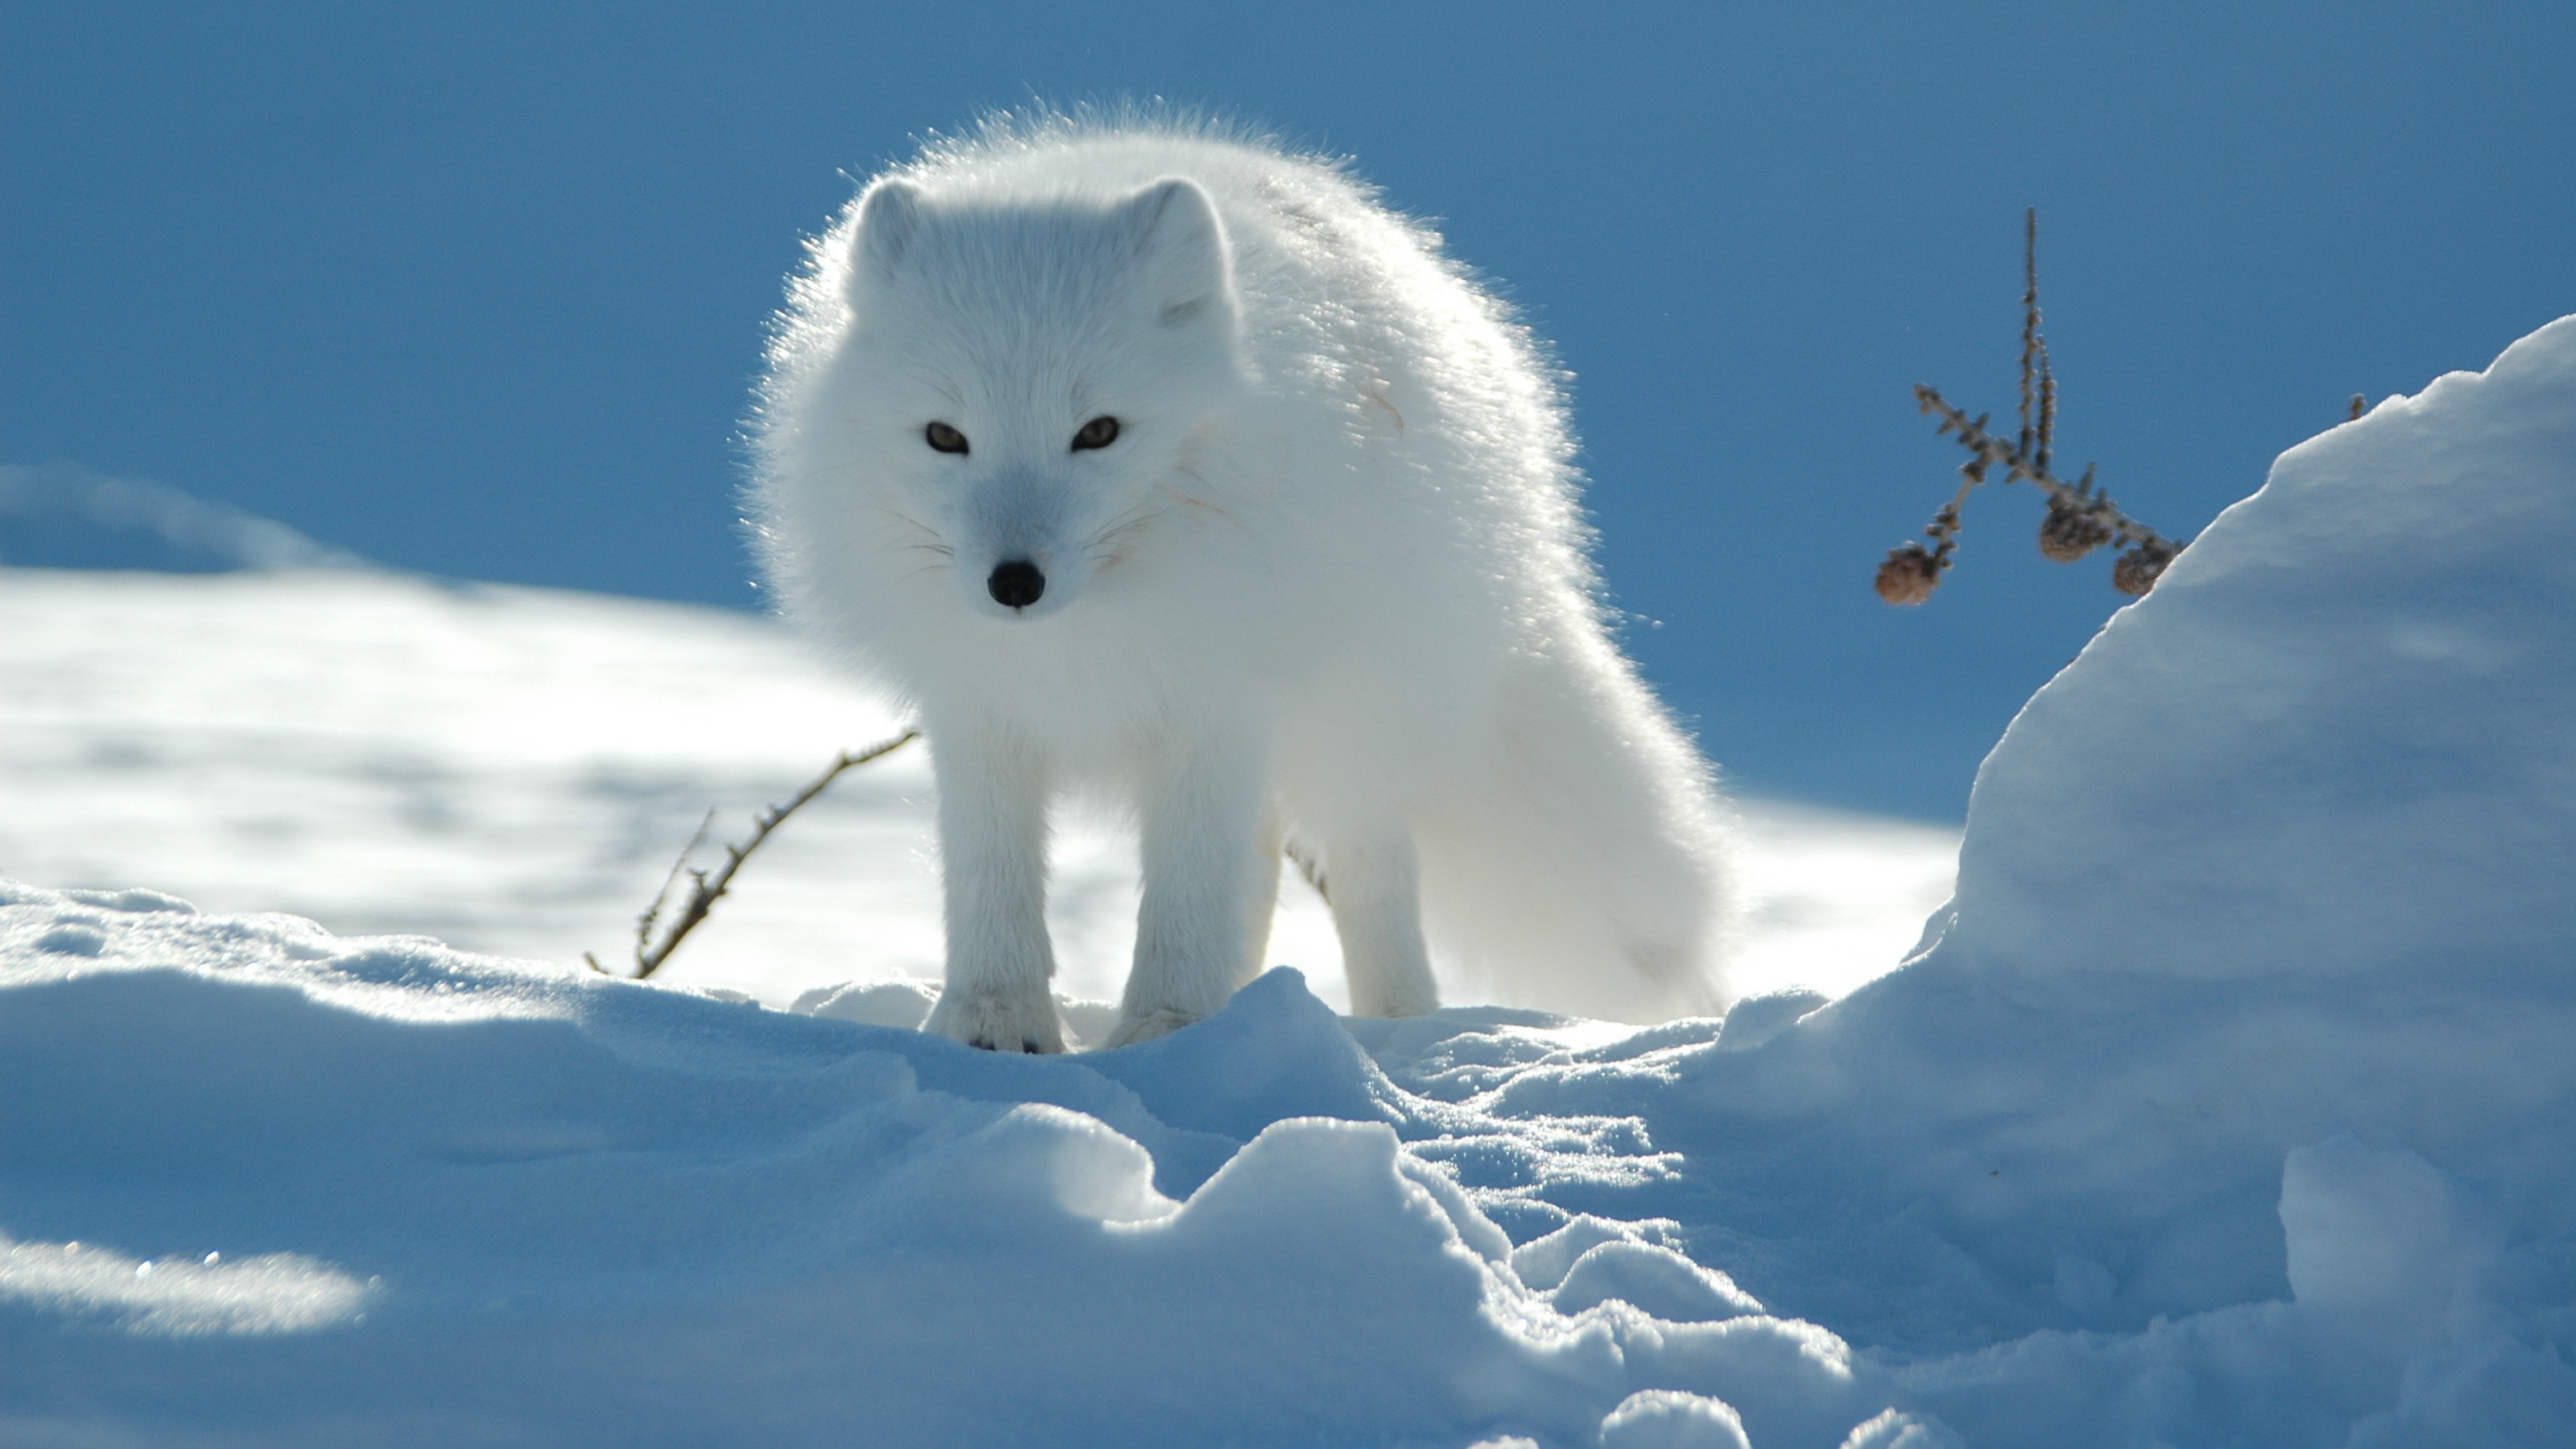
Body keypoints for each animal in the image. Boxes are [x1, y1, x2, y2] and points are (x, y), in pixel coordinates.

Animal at [748, 115, 1736, 1051]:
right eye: (944, 437)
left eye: (1098, 432)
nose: (1013, 583)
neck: (1085, 636)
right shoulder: (979, 708)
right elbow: (992, 878)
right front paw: (993, 1021)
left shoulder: (1216, 699)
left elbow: (1187, 893)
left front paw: (1166, 1029)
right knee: (1258, 870)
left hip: (1353, 724)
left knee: (1369, 871)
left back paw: (1395, 1027)